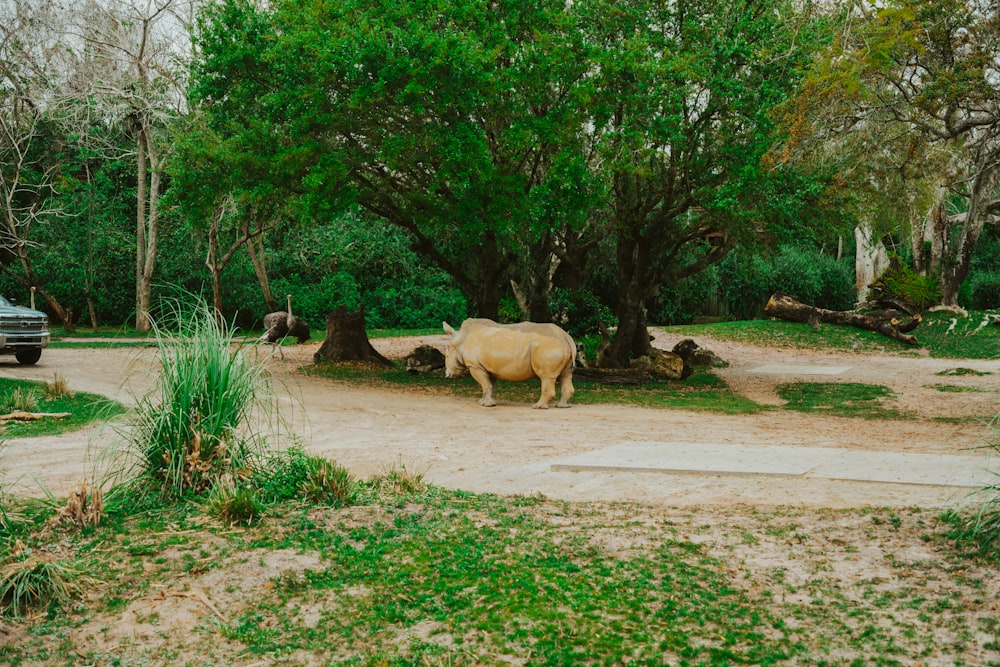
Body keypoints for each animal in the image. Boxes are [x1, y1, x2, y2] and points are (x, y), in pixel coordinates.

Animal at [442, 318, 576, 408]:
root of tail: (566, 337)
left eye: (447, 355)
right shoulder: (488, 367)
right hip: (559, 346)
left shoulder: (475, 366)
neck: (460, 340)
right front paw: (484, 402)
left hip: (548, 346)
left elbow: (485, 384)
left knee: (546, 377)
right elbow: (488, 385)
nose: (447, 375)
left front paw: (487, 405)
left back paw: (537, 406)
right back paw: (562, 406)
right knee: (565, 375)